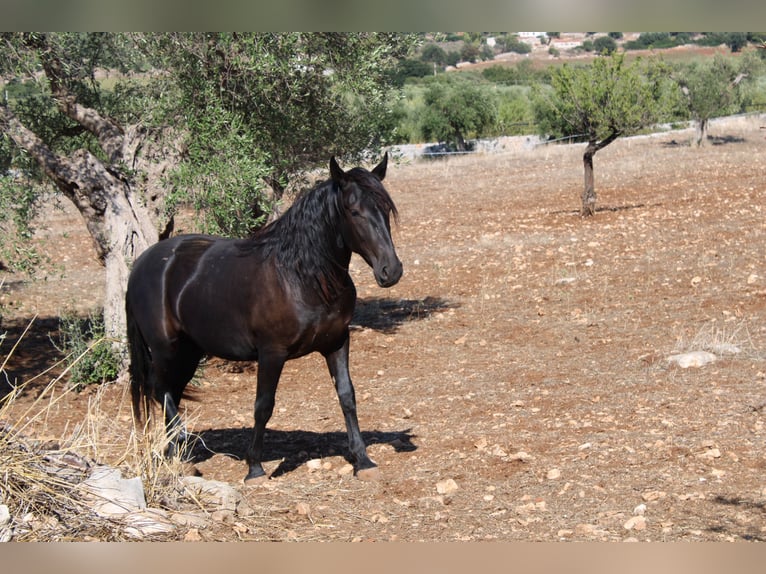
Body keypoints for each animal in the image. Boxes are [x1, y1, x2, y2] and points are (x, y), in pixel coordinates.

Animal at [126, 154, 402, 486]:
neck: (303, 277)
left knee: (171, 391)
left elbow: (347, 396)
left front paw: (363, 460)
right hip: (166, 348)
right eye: (353, 211)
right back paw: (180, 442)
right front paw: (254, 468)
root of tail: (142, 264)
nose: (391, 270)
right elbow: (263, 405)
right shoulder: (272, 353)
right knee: (159, 389)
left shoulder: (337, 342)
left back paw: (176, 457)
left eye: (385, 209)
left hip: (190, 352)